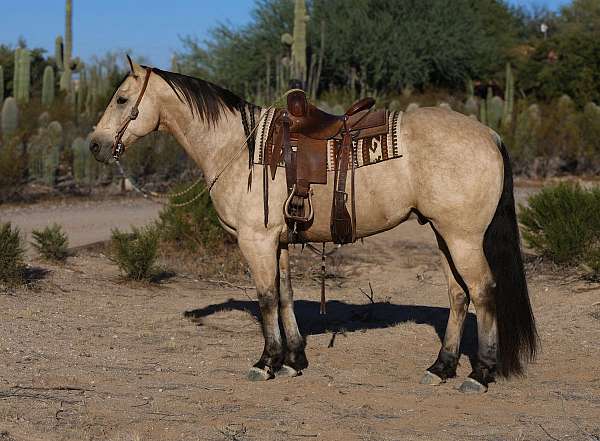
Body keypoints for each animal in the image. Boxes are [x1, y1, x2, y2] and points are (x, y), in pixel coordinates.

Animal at [90, 57, 540, 392]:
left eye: (122, 98)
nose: (95, 144)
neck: (239, 147)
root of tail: (490, 134)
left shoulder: (256, 241)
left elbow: (266, 298)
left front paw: (266, 362)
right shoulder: (278, 242)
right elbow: (286, 295)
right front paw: (294, 359)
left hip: (463, 237)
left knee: (482, 291)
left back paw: (479, 374)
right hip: (443, 233)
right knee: (458, 295)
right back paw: (441, 367)